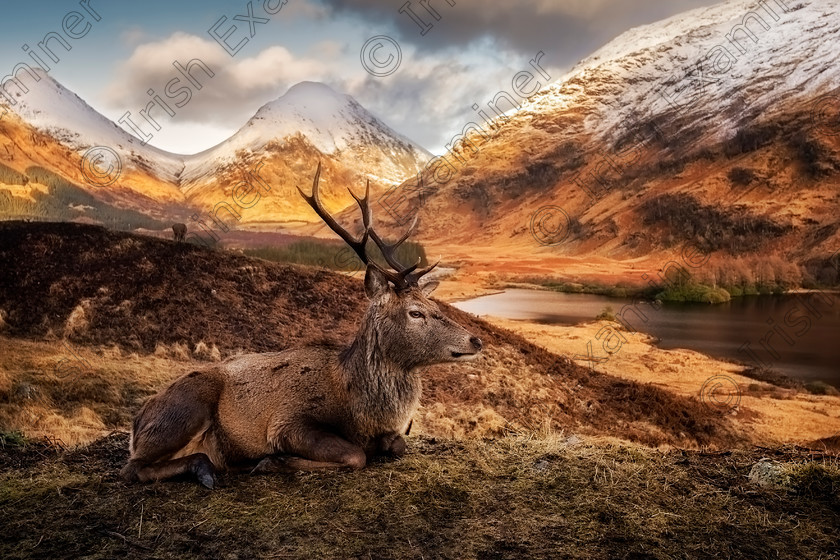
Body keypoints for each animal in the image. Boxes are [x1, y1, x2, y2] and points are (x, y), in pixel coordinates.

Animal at [121, 164, 482, 488]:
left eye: (436, 306)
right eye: (415, 313)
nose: (475, 340)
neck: (360, 410)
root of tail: (137, 422)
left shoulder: (391, 434)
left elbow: (397, 445)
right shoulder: (289, 421)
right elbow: (356, 455)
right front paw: (272, 461)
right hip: (186, 405)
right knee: (133, 467)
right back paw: (206, 468)